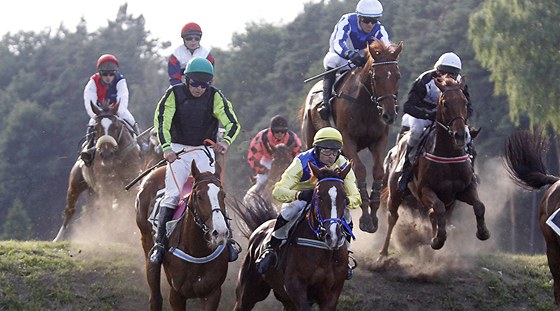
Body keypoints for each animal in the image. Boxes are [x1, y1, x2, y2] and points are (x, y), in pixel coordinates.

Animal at [53, 101, 142, 243]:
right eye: (96, 128)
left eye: (116, 127)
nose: (106, 154)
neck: (116, 159)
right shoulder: (105, 186)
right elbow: (107, 208)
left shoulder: (130, 181)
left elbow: (128, 205)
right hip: (75, 184)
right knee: (70, 209)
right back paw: (58, 238)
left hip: (92, 191)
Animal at [136, 162, 230, 310]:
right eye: (199, 196)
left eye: (223, 195)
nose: (220, 233)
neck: (198, 252)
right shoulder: (176, 294)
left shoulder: (213, 293)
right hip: (146, 242)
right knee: (155, 295)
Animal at [302, 39, 402, 234]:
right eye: (376, 77)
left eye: (397, 76)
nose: (389, 115)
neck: (365, 104)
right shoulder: (348, 141)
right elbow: (360, 170)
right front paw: (365, 219)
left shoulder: (379, 140)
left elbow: (378, 172)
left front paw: (374, 217)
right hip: (310, 138)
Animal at [380, 77, 490, 258]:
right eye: (445, 103)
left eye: (465, 102)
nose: (460, 135)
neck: (448, 156)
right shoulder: (425, 191)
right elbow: (438, 209)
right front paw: (437, 240)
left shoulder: (463, 190)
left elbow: (479, 206)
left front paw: (483, 232)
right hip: (396, 193)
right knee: (392, 217)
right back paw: (383, 252)